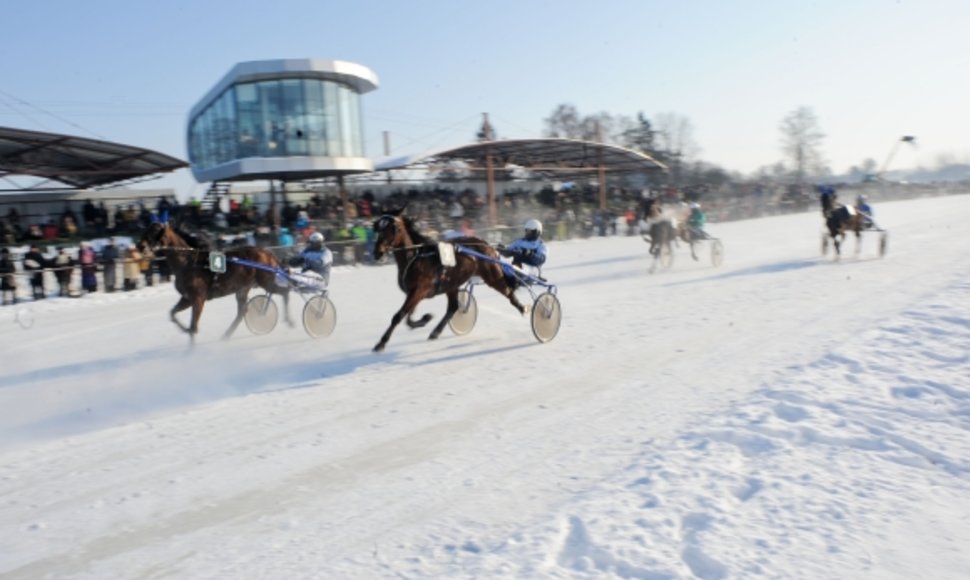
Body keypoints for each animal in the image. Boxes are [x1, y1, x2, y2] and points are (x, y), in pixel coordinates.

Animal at [138, 222, 292, 344]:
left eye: (155, 231)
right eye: (145, 229)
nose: (140, 246)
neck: (188, 262)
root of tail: (268, 253)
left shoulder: (198, 298)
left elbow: (193, 327)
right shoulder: (187, 298)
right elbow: (173, 314)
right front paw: (185, 330)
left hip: (266, 281)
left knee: (285, 292)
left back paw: (289, 320)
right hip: (242, 288)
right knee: (242, 312)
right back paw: (225, 336)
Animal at [370, 208, 524, 354]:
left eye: (394, 227)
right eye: (378, 226)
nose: (378, 253)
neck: (416, 257)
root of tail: (488, 245)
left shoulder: (419, 290)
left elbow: (399, 315)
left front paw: (381, 343)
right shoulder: (414, 293)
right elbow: (409, 316)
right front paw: (425, 319)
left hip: (492, 277)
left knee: (508, 292)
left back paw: (523, 308)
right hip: (452, 284)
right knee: (453, 307)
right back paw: (435, 332)